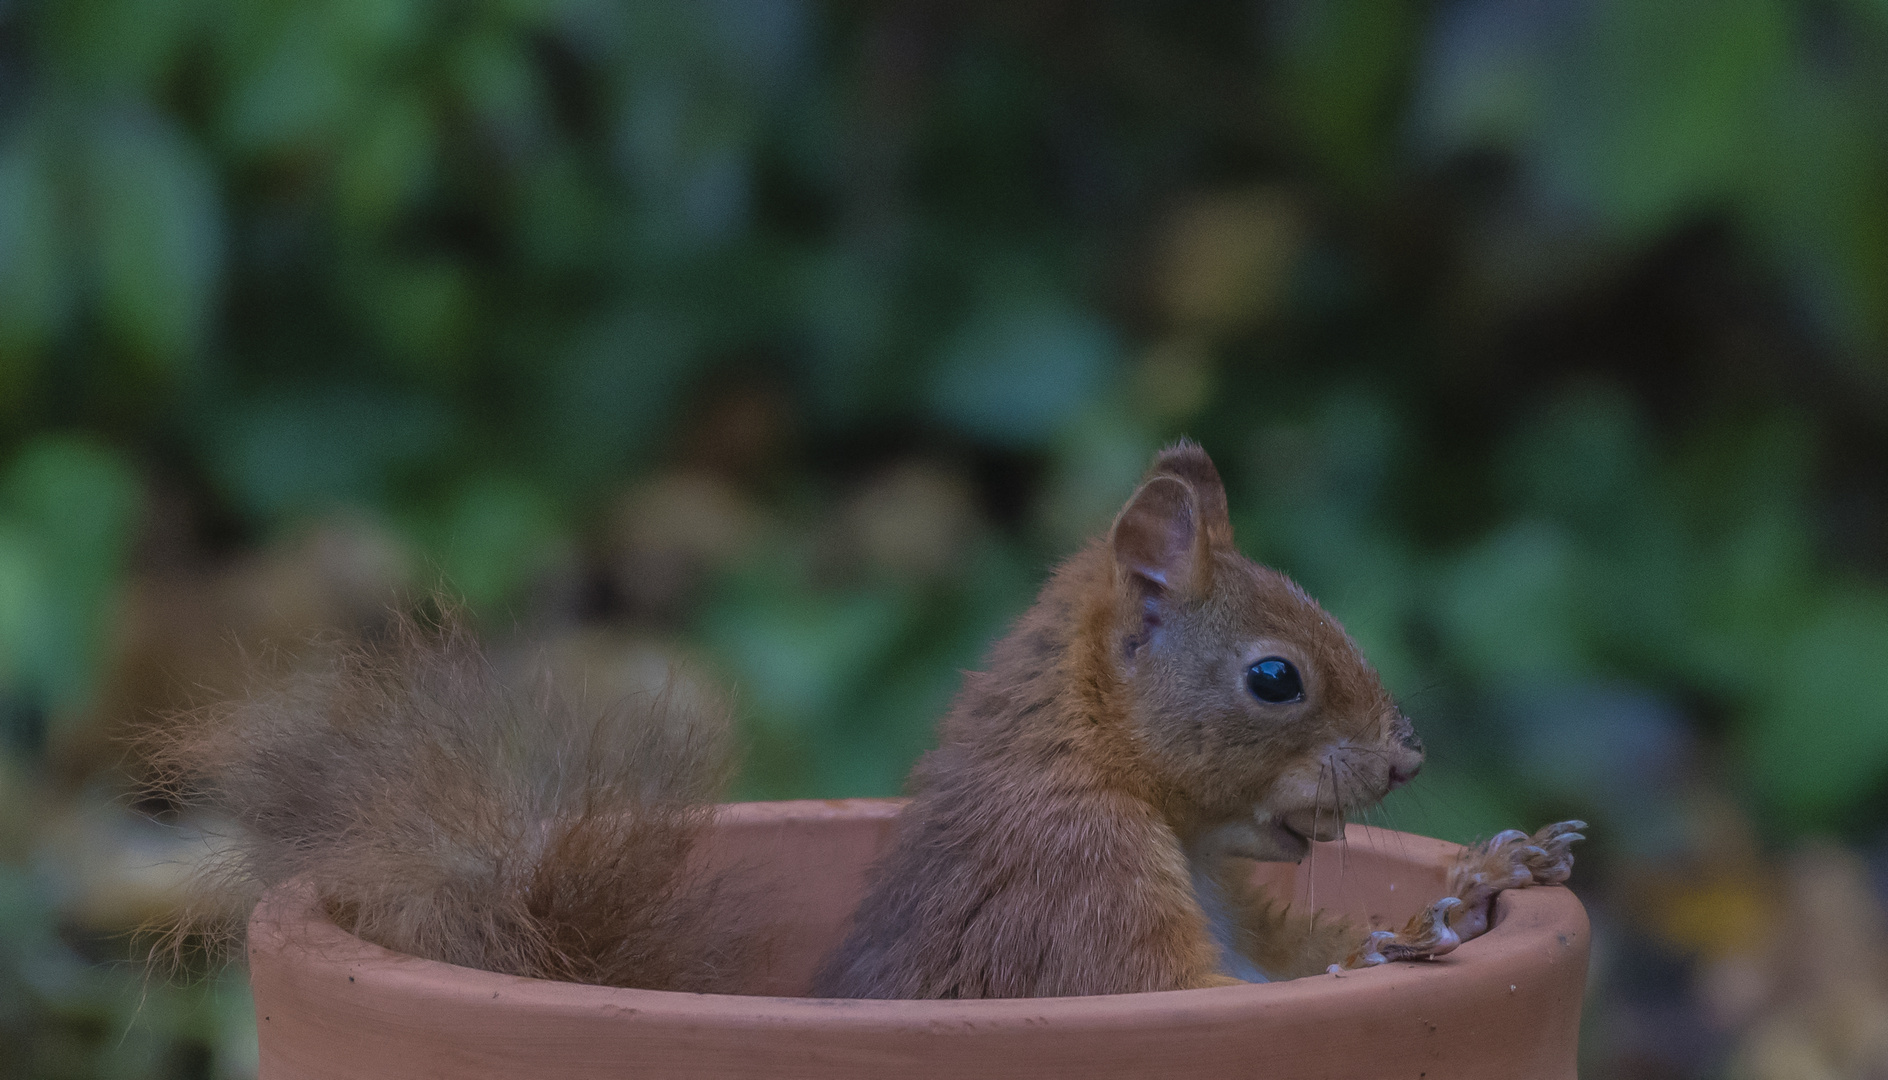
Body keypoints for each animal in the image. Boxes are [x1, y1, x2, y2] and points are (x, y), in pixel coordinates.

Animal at [158, 438, 1578, 996]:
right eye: (1275, 678)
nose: (1406, 759)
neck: (1109, 779)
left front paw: (1488, 873)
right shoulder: (1069, 898)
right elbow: (1205, 988)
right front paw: (1414, 937)